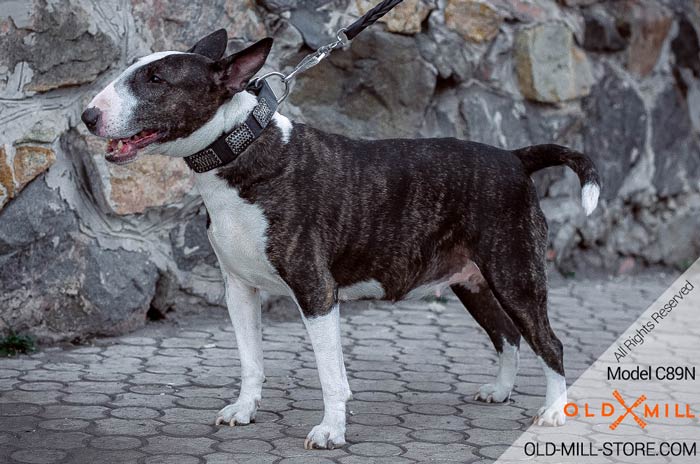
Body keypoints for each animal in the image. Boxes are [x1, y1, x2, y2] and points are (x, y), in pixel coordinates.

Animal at [80, 29, 596, 450]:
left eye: (156, 80)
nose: (87, 116)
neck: (242, 148)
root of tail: (514, 158)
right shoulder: (239, 289)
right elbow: (250, 360)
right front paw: (244, 411)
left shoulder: (316, 291)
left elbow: (331, 375)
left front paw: (331, 431)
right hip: (471, 280)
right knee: (507, 334)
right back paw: (501, 390)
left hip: (514, 273)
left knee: (549, 342)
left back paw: (553, 413)